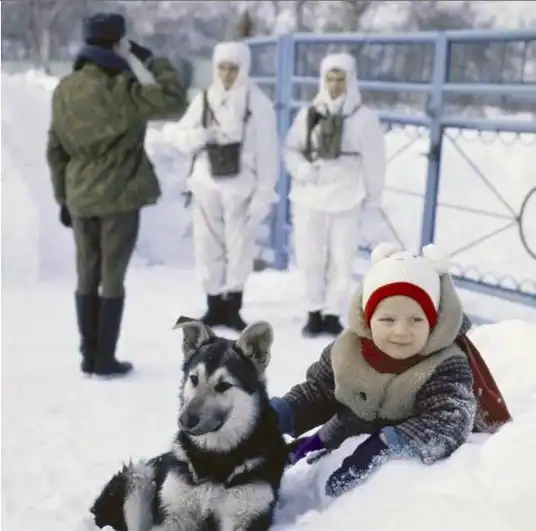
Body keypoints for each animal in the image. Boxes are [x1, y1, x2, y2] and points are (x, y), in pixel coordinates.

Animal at [90, 316, 289, 531]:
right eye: (194, 378)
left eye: (224, 385)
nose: (185, 420)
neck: (214, 456)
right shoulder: (176, 512)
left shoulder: (245, 515)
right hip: (139, 476)